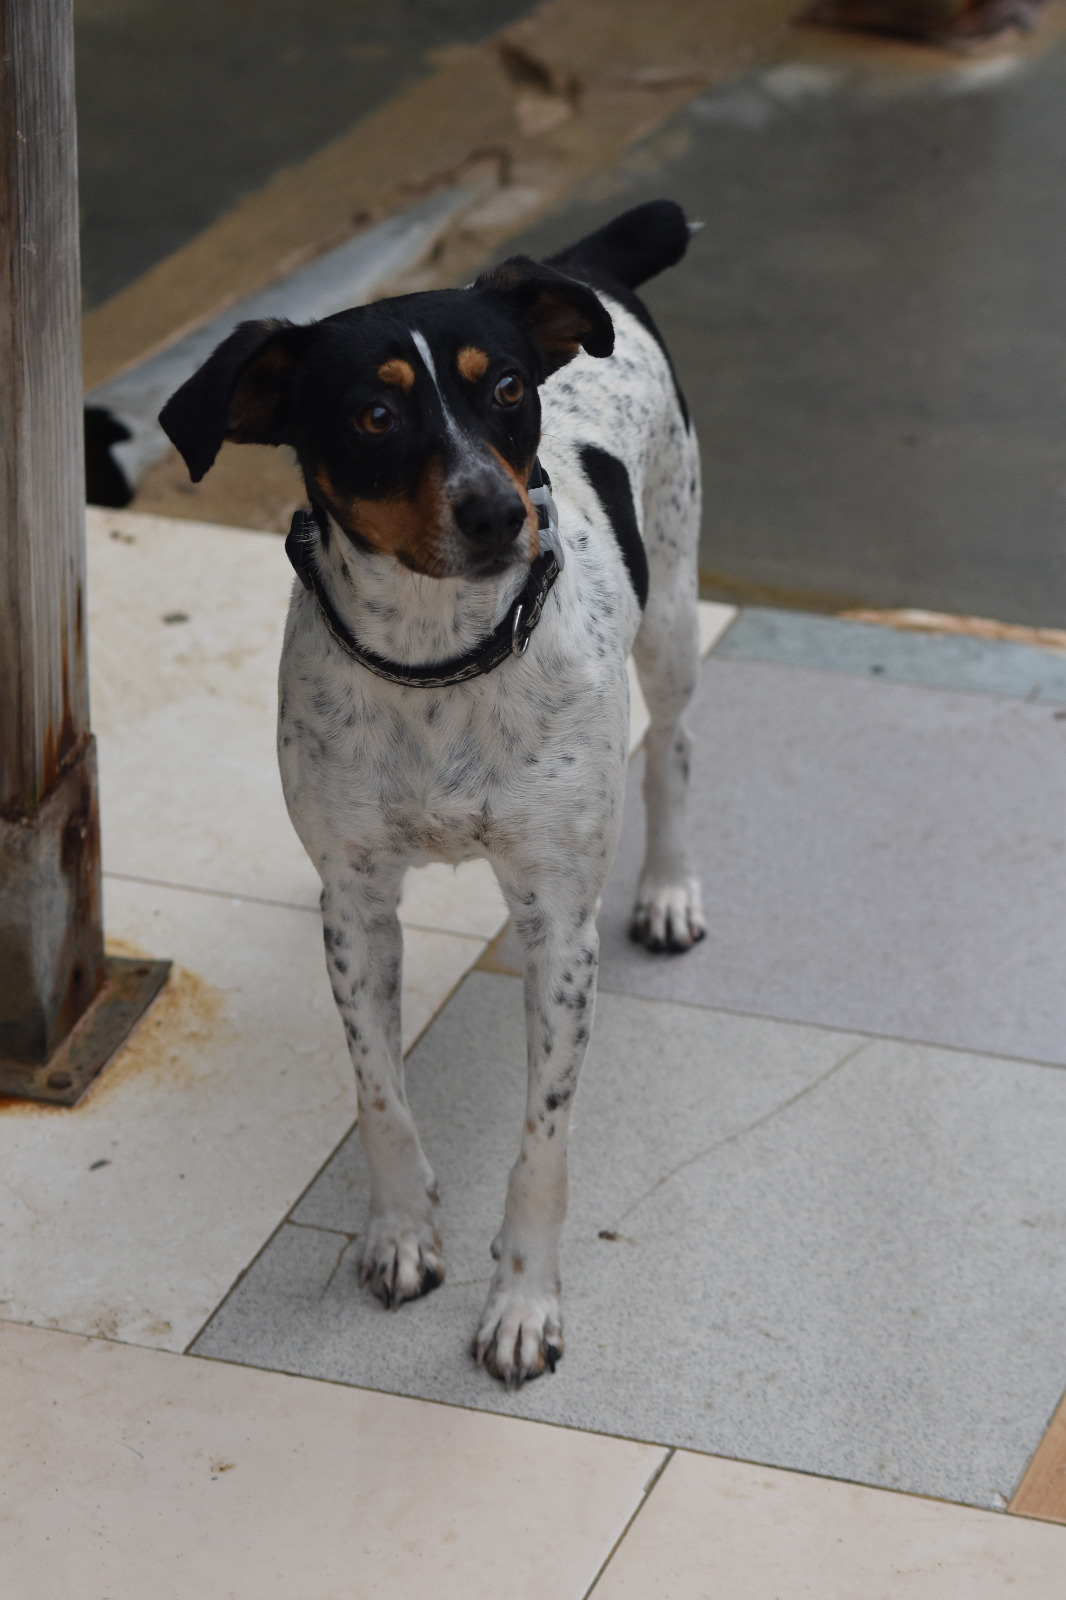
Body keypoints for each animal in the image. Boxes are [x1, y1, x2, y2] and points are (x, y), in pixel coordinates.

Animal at [159, 199, 705, 1385]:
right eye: (372, 414)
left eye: (504, 389)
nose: (498, 512)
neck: (438, 661)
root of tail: (575, 266)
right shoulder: (359, 907)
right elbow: (379, 1094)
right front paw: (402, 1230)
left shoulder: (556, 925)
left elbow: (543, 1144)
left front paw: (523, 1304)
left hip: (676, 614)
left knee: (675, 750)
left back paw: (670, 889)